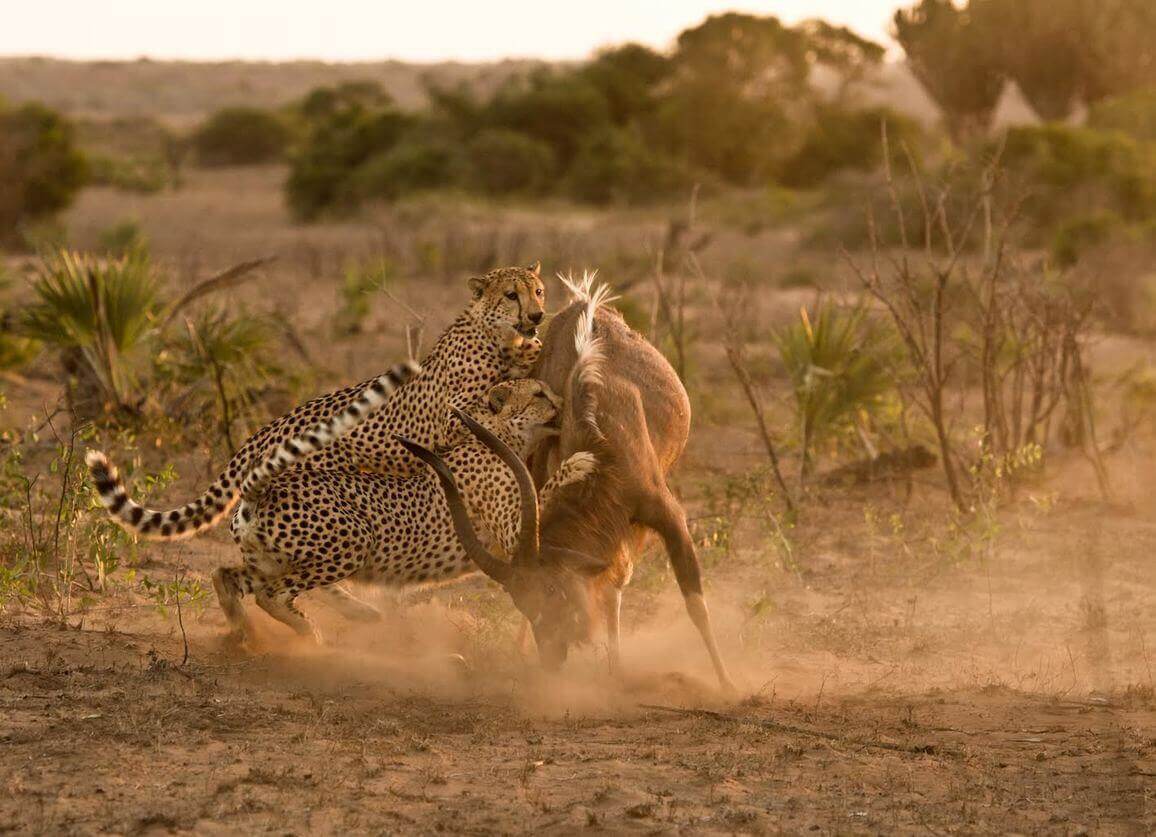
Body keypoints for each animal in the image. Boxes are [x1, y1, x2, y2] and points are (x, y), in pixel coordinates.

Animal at [85, 263, 545, 543]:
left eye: (539, 291)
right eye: (511, 295)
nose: (538, 314)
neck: (491, 331)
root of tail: (263, 431)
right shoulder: (453, 415)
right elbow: (491, 398)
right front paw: (527, 356)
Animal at [212, 381, 601, 647]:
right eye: (538, 394)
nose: (562, 403)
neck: (490, 437)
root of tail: (263, 491)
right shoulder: (511, 533)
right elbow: (542, 492)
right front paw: (576, 464)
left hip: (270, 561)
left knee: (225, 577)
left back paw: (245, 632)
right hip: (353, 542)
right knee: (272, 594)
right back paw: (311, 629)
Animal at [402, 277, 735, 689]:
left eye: (552, 588)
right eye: (522, 601)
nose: (552, 656)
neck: (602, 442)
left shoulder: (667, 515)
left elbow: (695, 604)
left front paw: (727, 685)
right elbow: (608, 586)